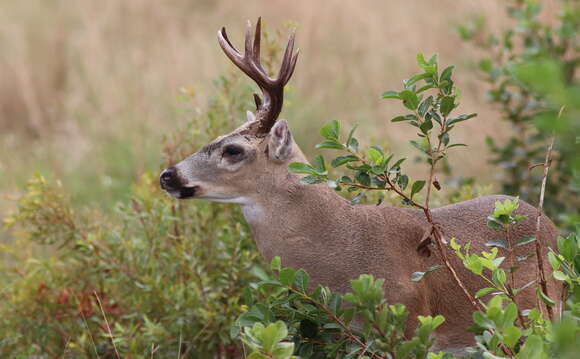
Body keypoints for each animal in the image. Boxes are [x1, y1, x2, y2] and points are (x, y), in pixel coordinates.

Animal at [160, 18, 560, 352]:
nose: (167, 176)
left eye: (233, 149)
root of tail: (552, 228)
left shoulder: (408, 322)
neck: (339, 249)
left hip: (541, 310)